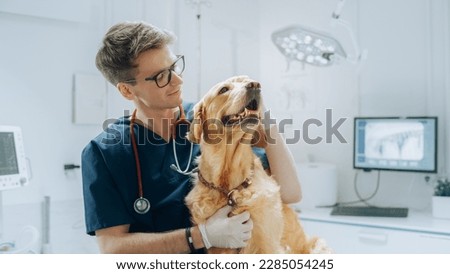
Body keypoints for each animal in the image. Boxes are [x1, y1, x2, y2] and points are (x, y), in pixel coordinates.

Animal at [185, 75, 320, 255]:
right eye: (223, 90)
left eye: (246, 80)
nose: (255, 85)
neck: (229, 189)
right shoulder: (219, 248)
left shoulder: (267, 243)